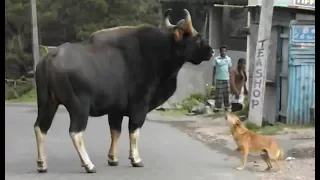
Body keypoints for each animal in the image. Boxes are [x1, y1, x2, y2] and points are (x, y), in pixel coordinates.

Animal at [33, 8, 212, 173]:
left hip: (47, 102)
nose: (211, 51)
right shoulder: (139, 106)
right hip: (79, 106)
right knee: (75, 132)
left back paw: (42, 164)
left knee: (40, 127)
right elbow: (134, 131)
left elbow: (115, 131)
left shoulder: (116, 110)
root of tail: (51, 57)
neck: (158, 53)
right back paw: (88, 164)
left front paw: (113, 158)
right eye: (197, 38)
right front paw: (136, 159)